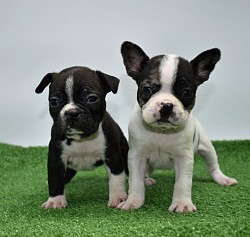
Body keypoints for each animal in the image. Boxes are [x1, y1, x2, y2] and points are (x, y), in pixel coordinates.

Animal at [35, 65, 128, 208]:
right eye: (54, 102)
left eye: (92, 98)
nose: (72, 112)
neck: (82, 139)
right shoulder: (56, 158)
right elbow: (55, 179)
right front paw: (55, 200)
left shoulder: (113, 155)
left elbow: (117, 177)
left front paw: (118, 197)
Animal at [117, 41, 238, 213]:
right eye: (147, 89)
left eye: (187, 93)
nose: (167, 105)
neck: (161, 132)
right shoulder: (137, 156)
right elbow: (135, 182)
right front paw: (133, 201)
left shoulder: (184, 158)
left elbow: (183, 182)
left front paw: (182, 204)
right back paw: (147, 180)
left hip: (207, 147)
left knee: (213, 165)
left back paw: (223, 179)